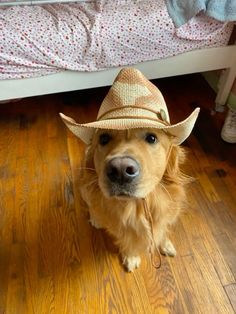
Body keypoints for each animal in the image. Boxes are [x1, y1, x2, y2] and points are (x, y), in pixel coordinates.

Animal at [79, 127, 188, 272]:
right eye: (104, 138)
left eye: (152, 138)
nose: (120, 170)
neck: (139, 206)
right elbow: (128, 240)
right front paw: (131, 256)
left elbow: (162, 229)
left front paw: (165, 244)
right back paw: (96, 218)